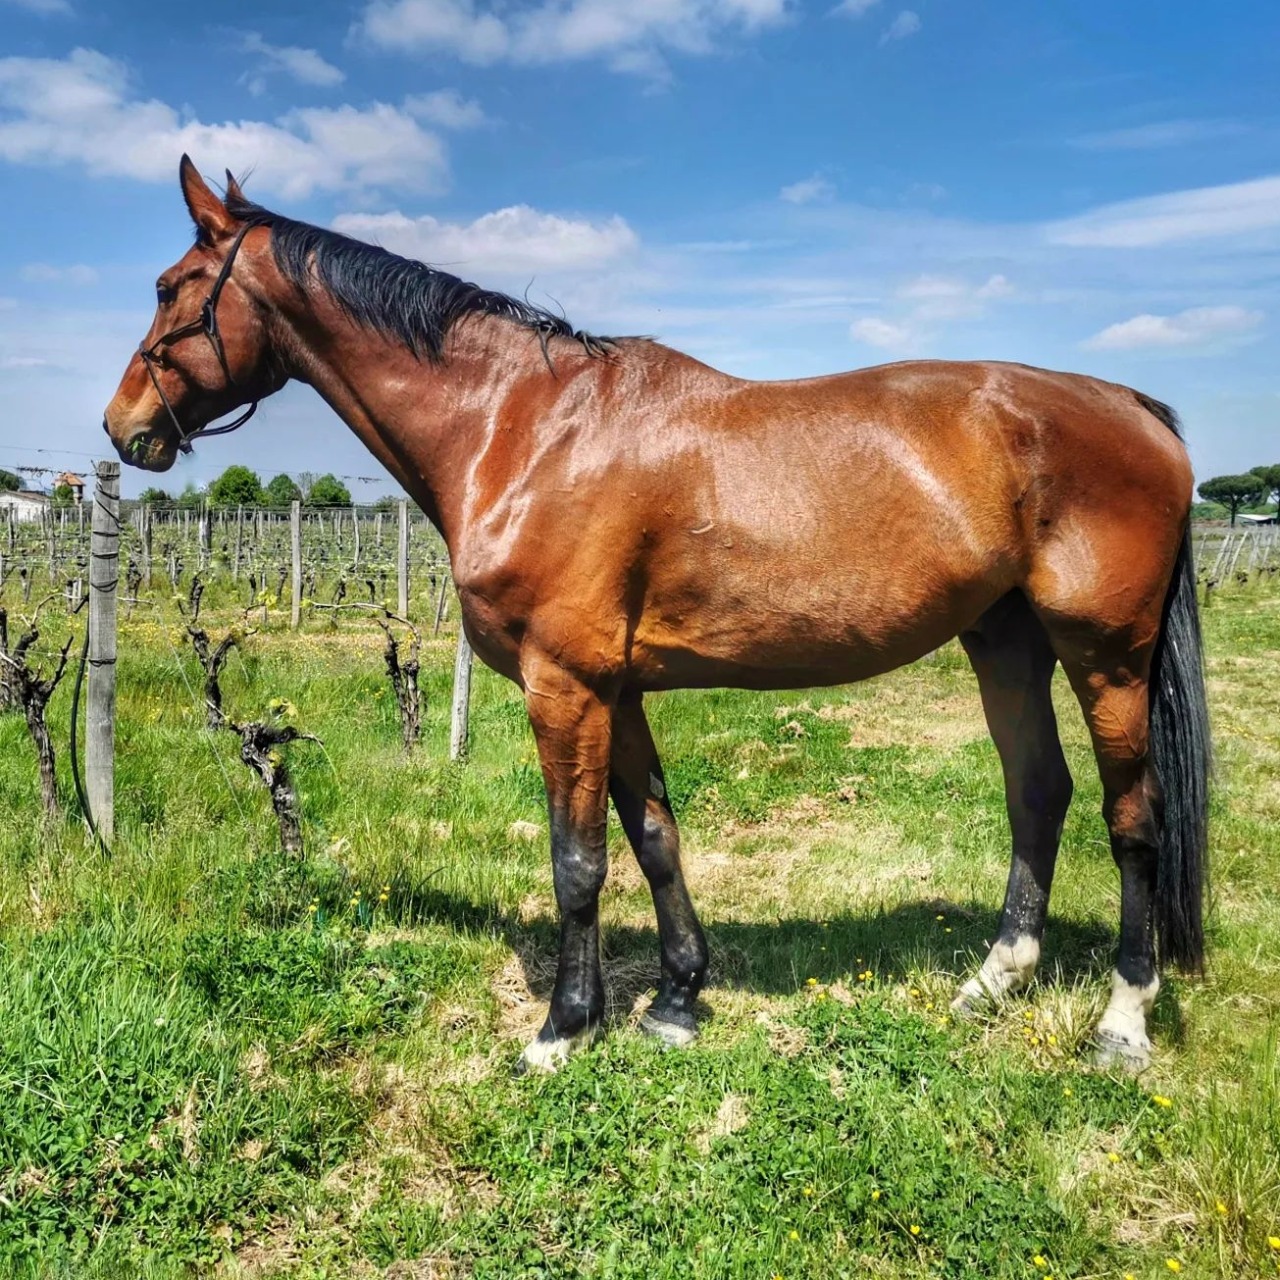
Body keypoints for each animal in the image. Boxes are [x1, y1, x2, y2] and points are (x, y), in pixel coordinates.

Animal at [104, 157, 1210, 1075]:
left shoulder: (565, 687)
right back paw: (990, 982)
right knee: (1038, 792)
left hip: (1106, 656)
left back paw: (1120, 1023)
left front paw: (561, 1028)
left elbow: (578, 859)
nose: (123, 428)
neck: (525, 429)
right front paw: (676, 1000)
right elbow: (655, 838)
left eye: (168, 286)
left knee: (1132, 818)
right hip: (1003, 640)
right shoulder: (619, 689)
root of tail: (1135, 406)